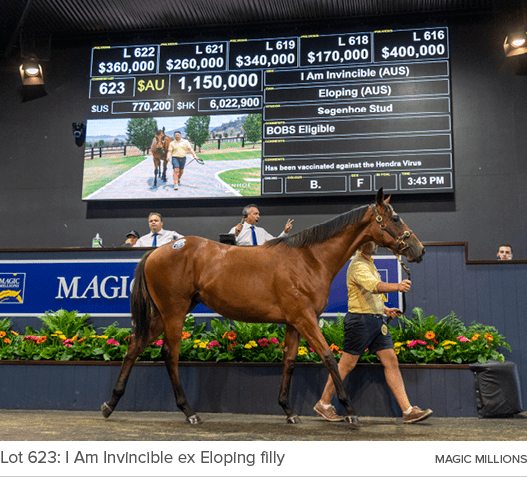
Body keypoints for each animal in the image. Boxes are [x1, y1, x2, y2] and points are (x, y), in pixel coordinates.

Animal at [102, 189, 424, 426]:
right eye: (395, 218)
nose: (418, 250)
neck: (309, 259)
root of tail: (158, 250)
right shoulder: (305, 319)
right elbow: (329, 359)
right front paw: (350, 411)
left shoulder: (294, 322)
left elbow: (289, 362)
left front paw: (289, 411)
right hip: (175, 312)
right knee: (170, 355)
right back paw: (189, 412)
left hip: (163, 314)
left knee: (135, 346)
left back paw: (110, 404)